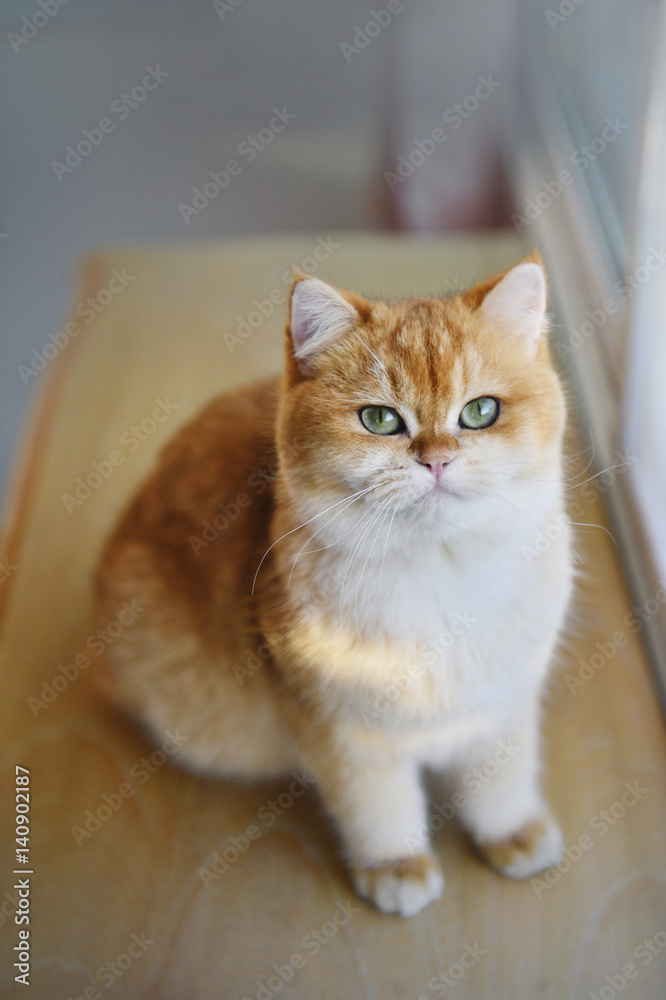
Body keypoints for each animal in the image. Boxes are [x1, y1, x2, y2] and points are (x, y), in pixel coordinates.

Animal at [94, 256, 572, 916]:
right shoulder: (339, 727)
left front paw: (511, 830)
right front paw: (396, 866)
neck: (439, 574)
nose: (437, 460)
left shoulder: (504, 697)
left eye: (481, 411)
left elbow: (504, 774)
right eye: (380, 419)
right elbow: (377, 805)